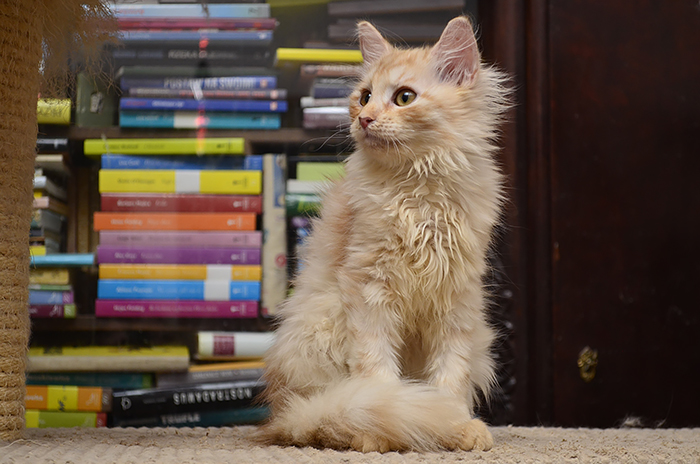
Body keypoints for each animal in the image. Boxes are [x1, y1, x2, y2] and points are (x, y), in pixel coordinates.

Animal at [259, 16, 510, 453]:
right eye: (364, 97)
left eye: (404, 97)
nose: (365, 119)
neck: (419, 189)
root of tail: (280, 412)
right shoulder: (369, 287)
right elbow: (378, 374)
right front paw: (412, 422)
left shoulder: (457, 299)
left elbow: (451, 376)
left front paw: (457, 425)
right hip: (323, 323)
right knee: (326, 417)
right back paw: (367, 433)